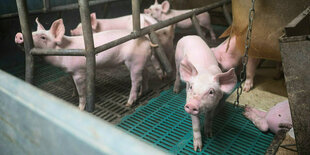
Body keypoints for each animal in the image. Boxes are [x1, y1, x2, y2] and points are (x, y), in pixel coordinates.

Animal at [15, 18, 162, 109]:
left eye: (43, 37)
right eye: (33, 32)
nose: (18, 35)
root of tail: (146, 41)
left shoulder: (78, 72)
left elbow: (81, 90)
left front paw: (80, 107)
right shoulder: (69, 71)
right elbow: (73, 85)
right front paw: (72, 95)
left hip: (133, 61)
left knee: (136, 80)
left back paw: (129, 103)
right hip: (140, 60)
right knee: (145, 74)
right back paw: (143, 93)